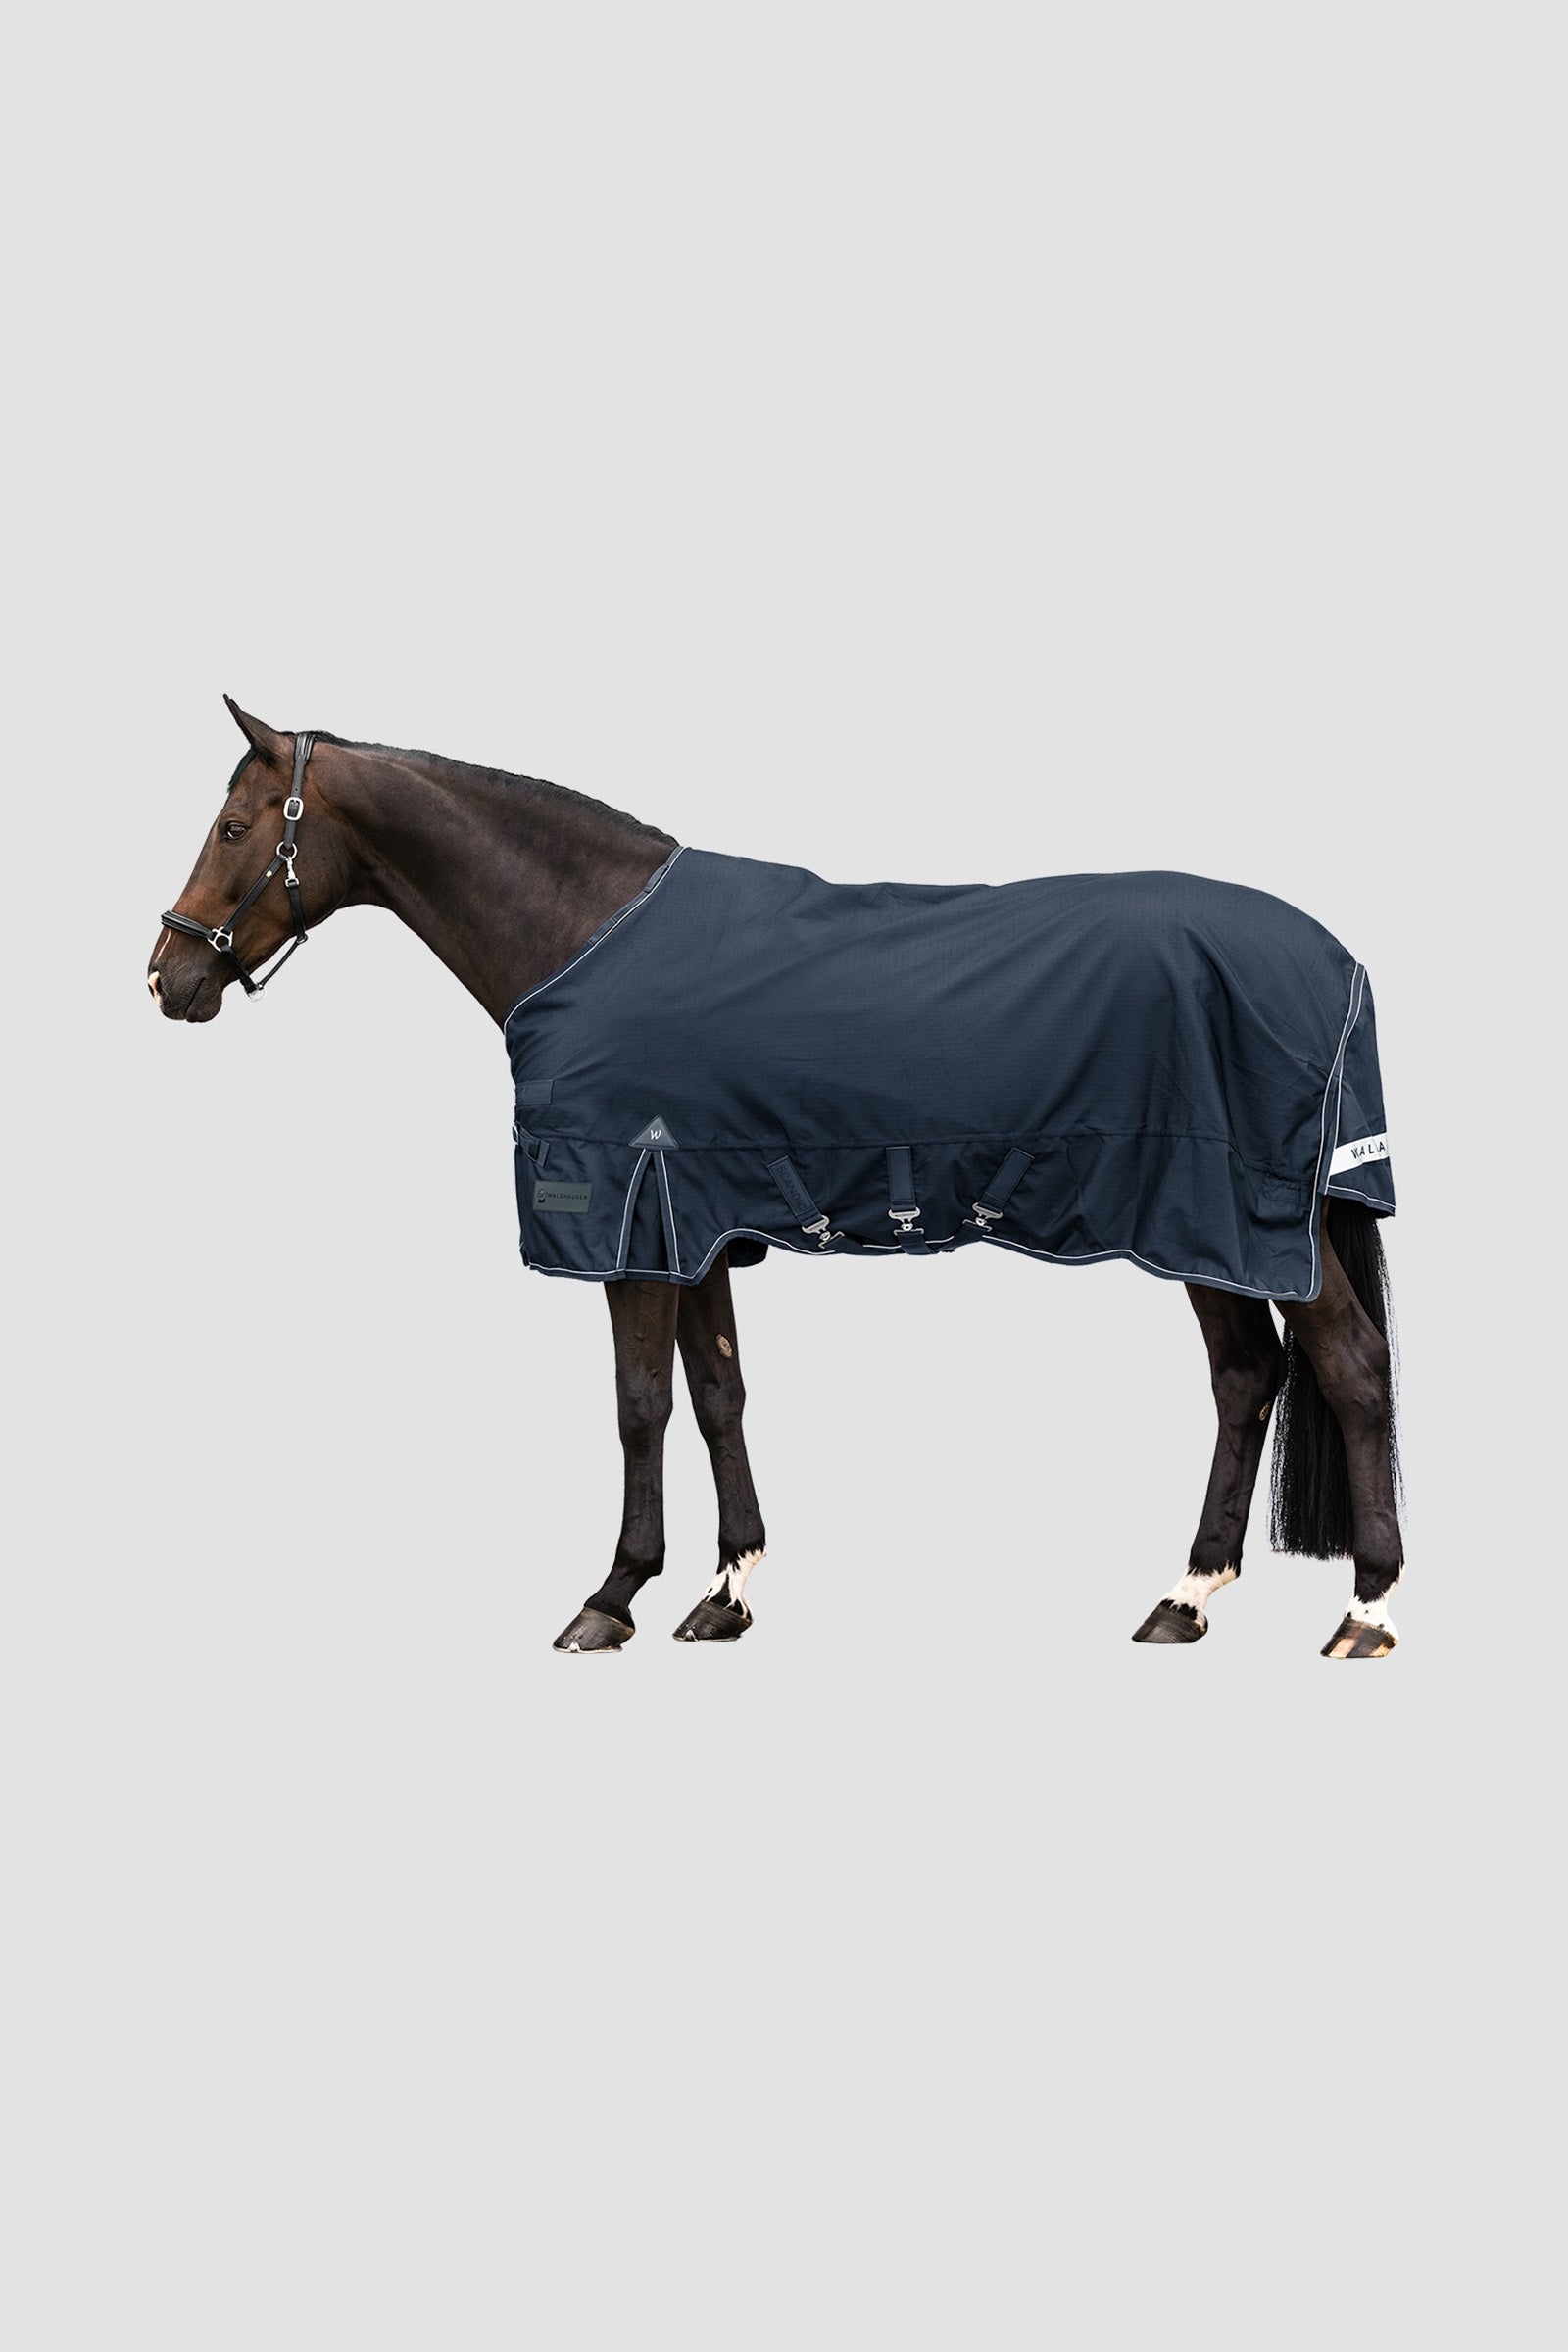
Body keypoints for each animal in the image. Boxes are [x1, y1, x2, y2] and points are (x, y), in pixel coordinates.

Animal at [149, 699, 1403, 1661]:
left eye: (232, 826)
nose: (165, 977)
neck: (582, 932)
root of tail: (1334, 961)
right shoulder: (693, 1222)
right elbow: (716, 1396)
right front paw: (725, 1592)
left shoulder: (629, 1224)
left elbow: (639, 1406)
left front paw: (611, 1598)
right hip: (1204, 1232)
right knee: (1245, 1380)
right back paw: (1183, 1599)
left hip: (1247, 1221)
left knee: (1346, 1366)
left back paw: (1367, 1610)